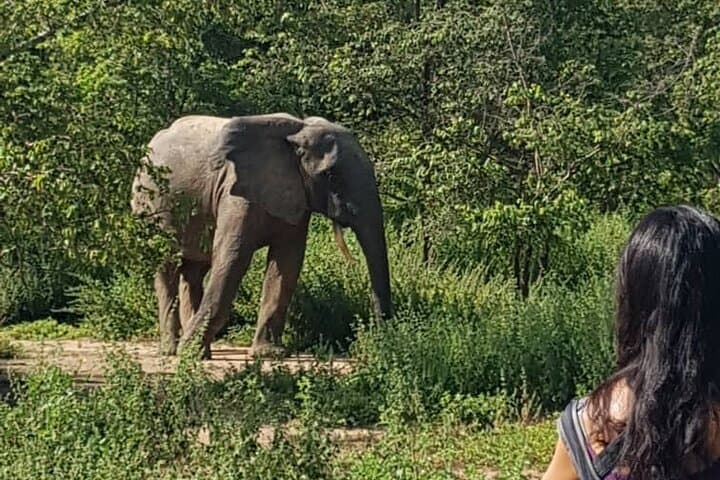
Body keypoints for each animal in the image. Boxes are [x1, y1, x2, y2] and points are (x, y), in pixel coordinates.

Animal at [130, 113, 392, 359]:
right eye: (329, 175)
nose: (379, 338)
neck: (297, 132)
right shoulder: (236, 193)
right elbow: (232, 258)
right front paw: (189, 353)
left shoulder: (295, 196)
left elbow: (287, 264)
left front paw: (269, 354)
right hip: (151, 203)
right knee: (167, 266)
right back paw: (173, 350)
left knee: (195, 269)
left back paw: (201, 352)